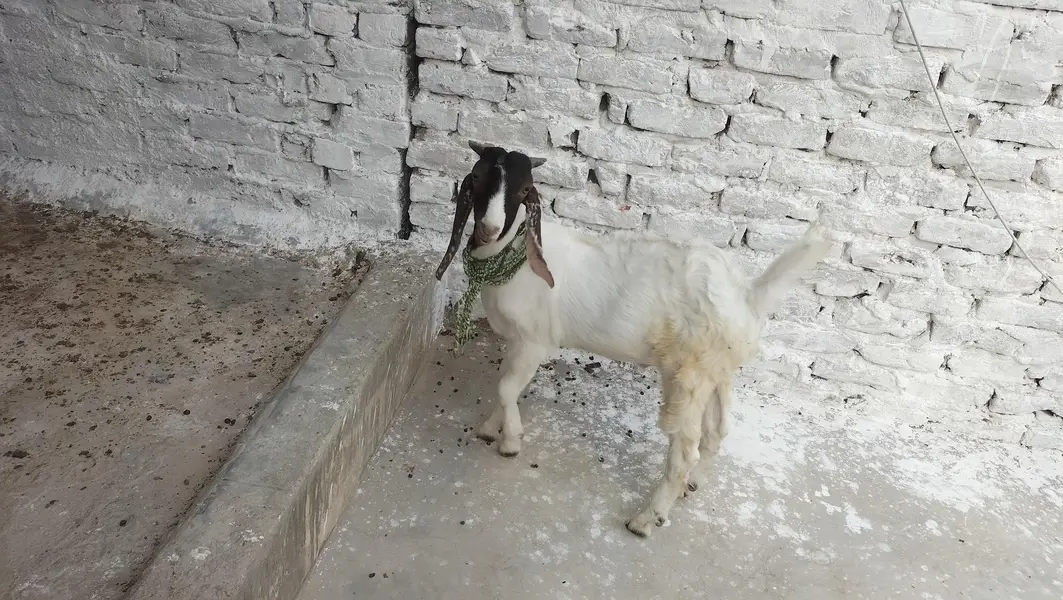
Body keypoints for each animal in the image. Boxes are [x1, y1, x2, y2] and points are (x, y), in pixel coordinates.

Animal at [434, 140, 832, 538]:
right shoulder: (516, 341)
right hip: (717, 370)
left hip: (687, 377)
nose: (489, 229)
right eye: (478, 177)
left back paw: (646, 519)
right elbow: (507, 387)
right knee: (716, 432)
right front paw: (491, 428)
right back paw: (692, 485)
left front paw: (510, 442)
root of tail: (747, 295)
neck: (514, 258)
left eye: (523, 190)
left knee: (685, 451)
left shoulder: (535, 340)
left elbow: (505, 388)